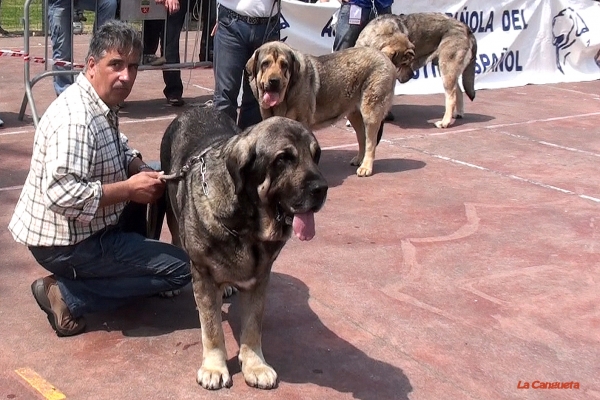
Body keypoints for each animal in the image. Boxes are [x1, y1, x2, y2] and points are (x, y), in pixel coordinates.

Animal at [159, 105, 328, 388]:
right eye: (283, 159)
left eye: (316, 156)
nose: (322, 188)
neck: (248, 227)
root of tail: (196, 107)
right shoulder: (203, 275)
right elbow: (212, 328)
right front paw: (214, 368)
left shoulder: (259, 279)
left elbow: (252, 325)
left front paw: (255, 365)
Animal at [244, 40, 412, 177]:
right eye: (265, 64)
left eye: (284, 65)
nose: (274, 81)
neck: (285, 97)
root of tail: (383, 55)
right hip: (355, 115)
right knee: (362, 138)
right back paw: (359, 159)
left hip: (370, 112)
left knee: (370, 141)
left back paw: (366, 167)